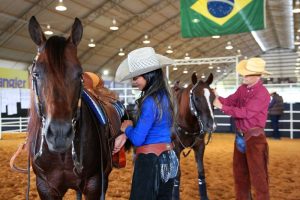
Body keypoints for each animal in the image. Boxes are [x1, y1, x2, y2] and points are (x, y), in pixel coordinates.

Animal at [172, 72, 217, 200]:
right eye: (196, 98)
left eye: (213, 97)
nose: (211, 125)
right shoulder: (175, 147)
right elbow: (177, 174)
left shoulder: (200, 146)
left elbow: (201, 173)